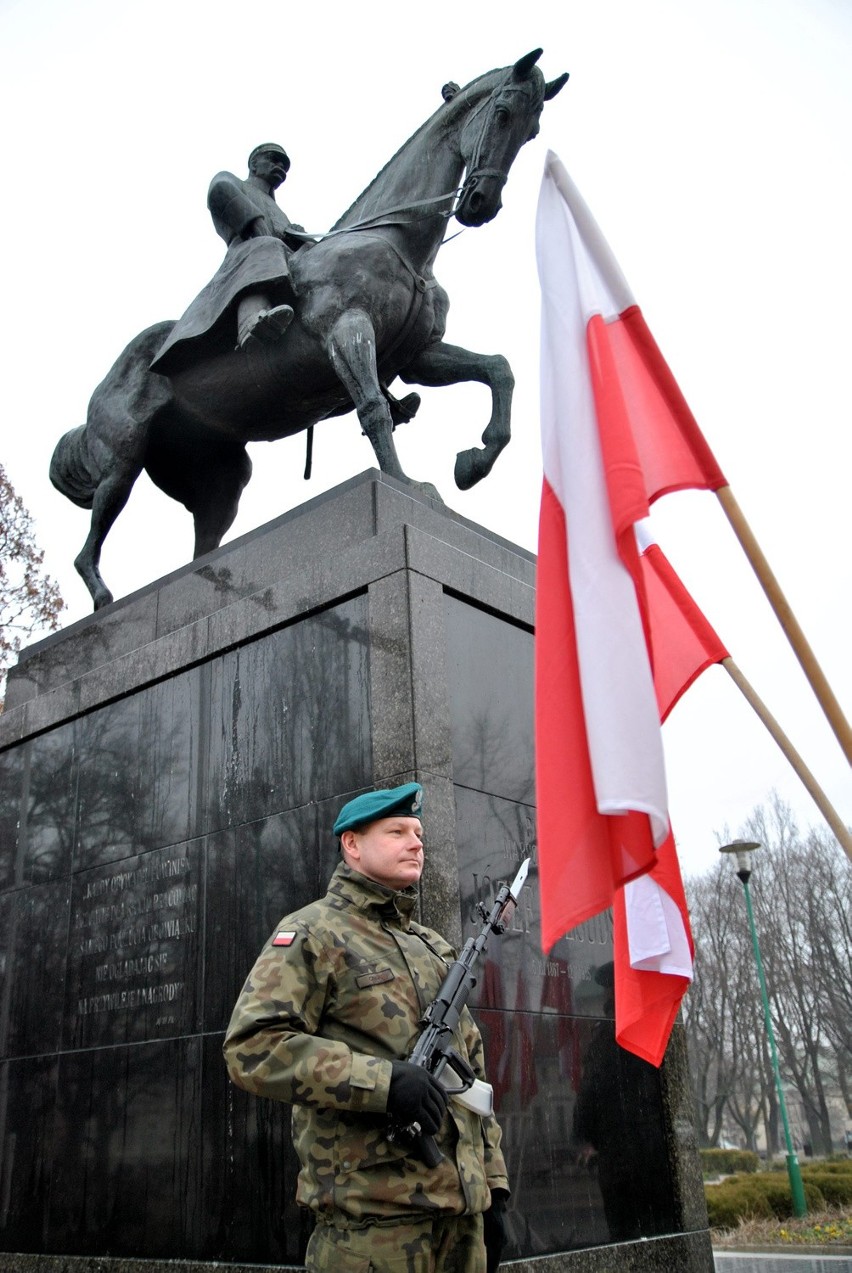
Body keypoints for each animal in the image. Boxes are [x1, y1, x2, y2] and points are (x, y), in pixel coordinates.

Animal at [49, 49, 560, 605]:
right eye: (503, 113)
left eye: (533, 130)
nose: (481, 204)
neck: (399, 243)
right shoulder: (347, 330)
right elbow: (374, 409)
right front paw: (406, 484)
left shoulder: (418, 355)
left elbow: (498, 370)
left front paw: (475, 461)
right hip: (124, 461)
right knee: (92, 536)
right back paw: (102, 598)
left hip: (219, 477)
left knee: (205, 539)